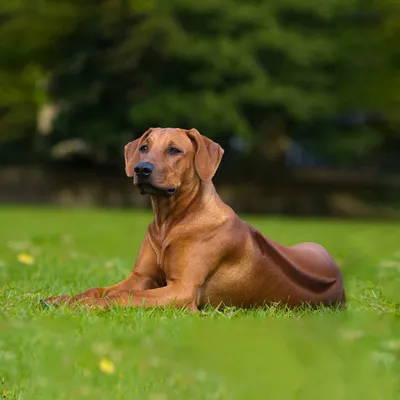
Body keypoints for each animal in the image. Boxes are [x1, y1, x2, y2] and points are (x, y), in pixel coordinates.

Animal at [43, 127, 344, 310]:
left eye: (174, 150)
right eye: (144, 147)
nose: (141, 169)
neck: (170, 222)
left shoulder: (182, 290)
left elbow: (126, 295)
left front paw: (82, 306)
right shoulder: (141, 276)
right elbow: (99, 289)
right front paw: (63, 298)